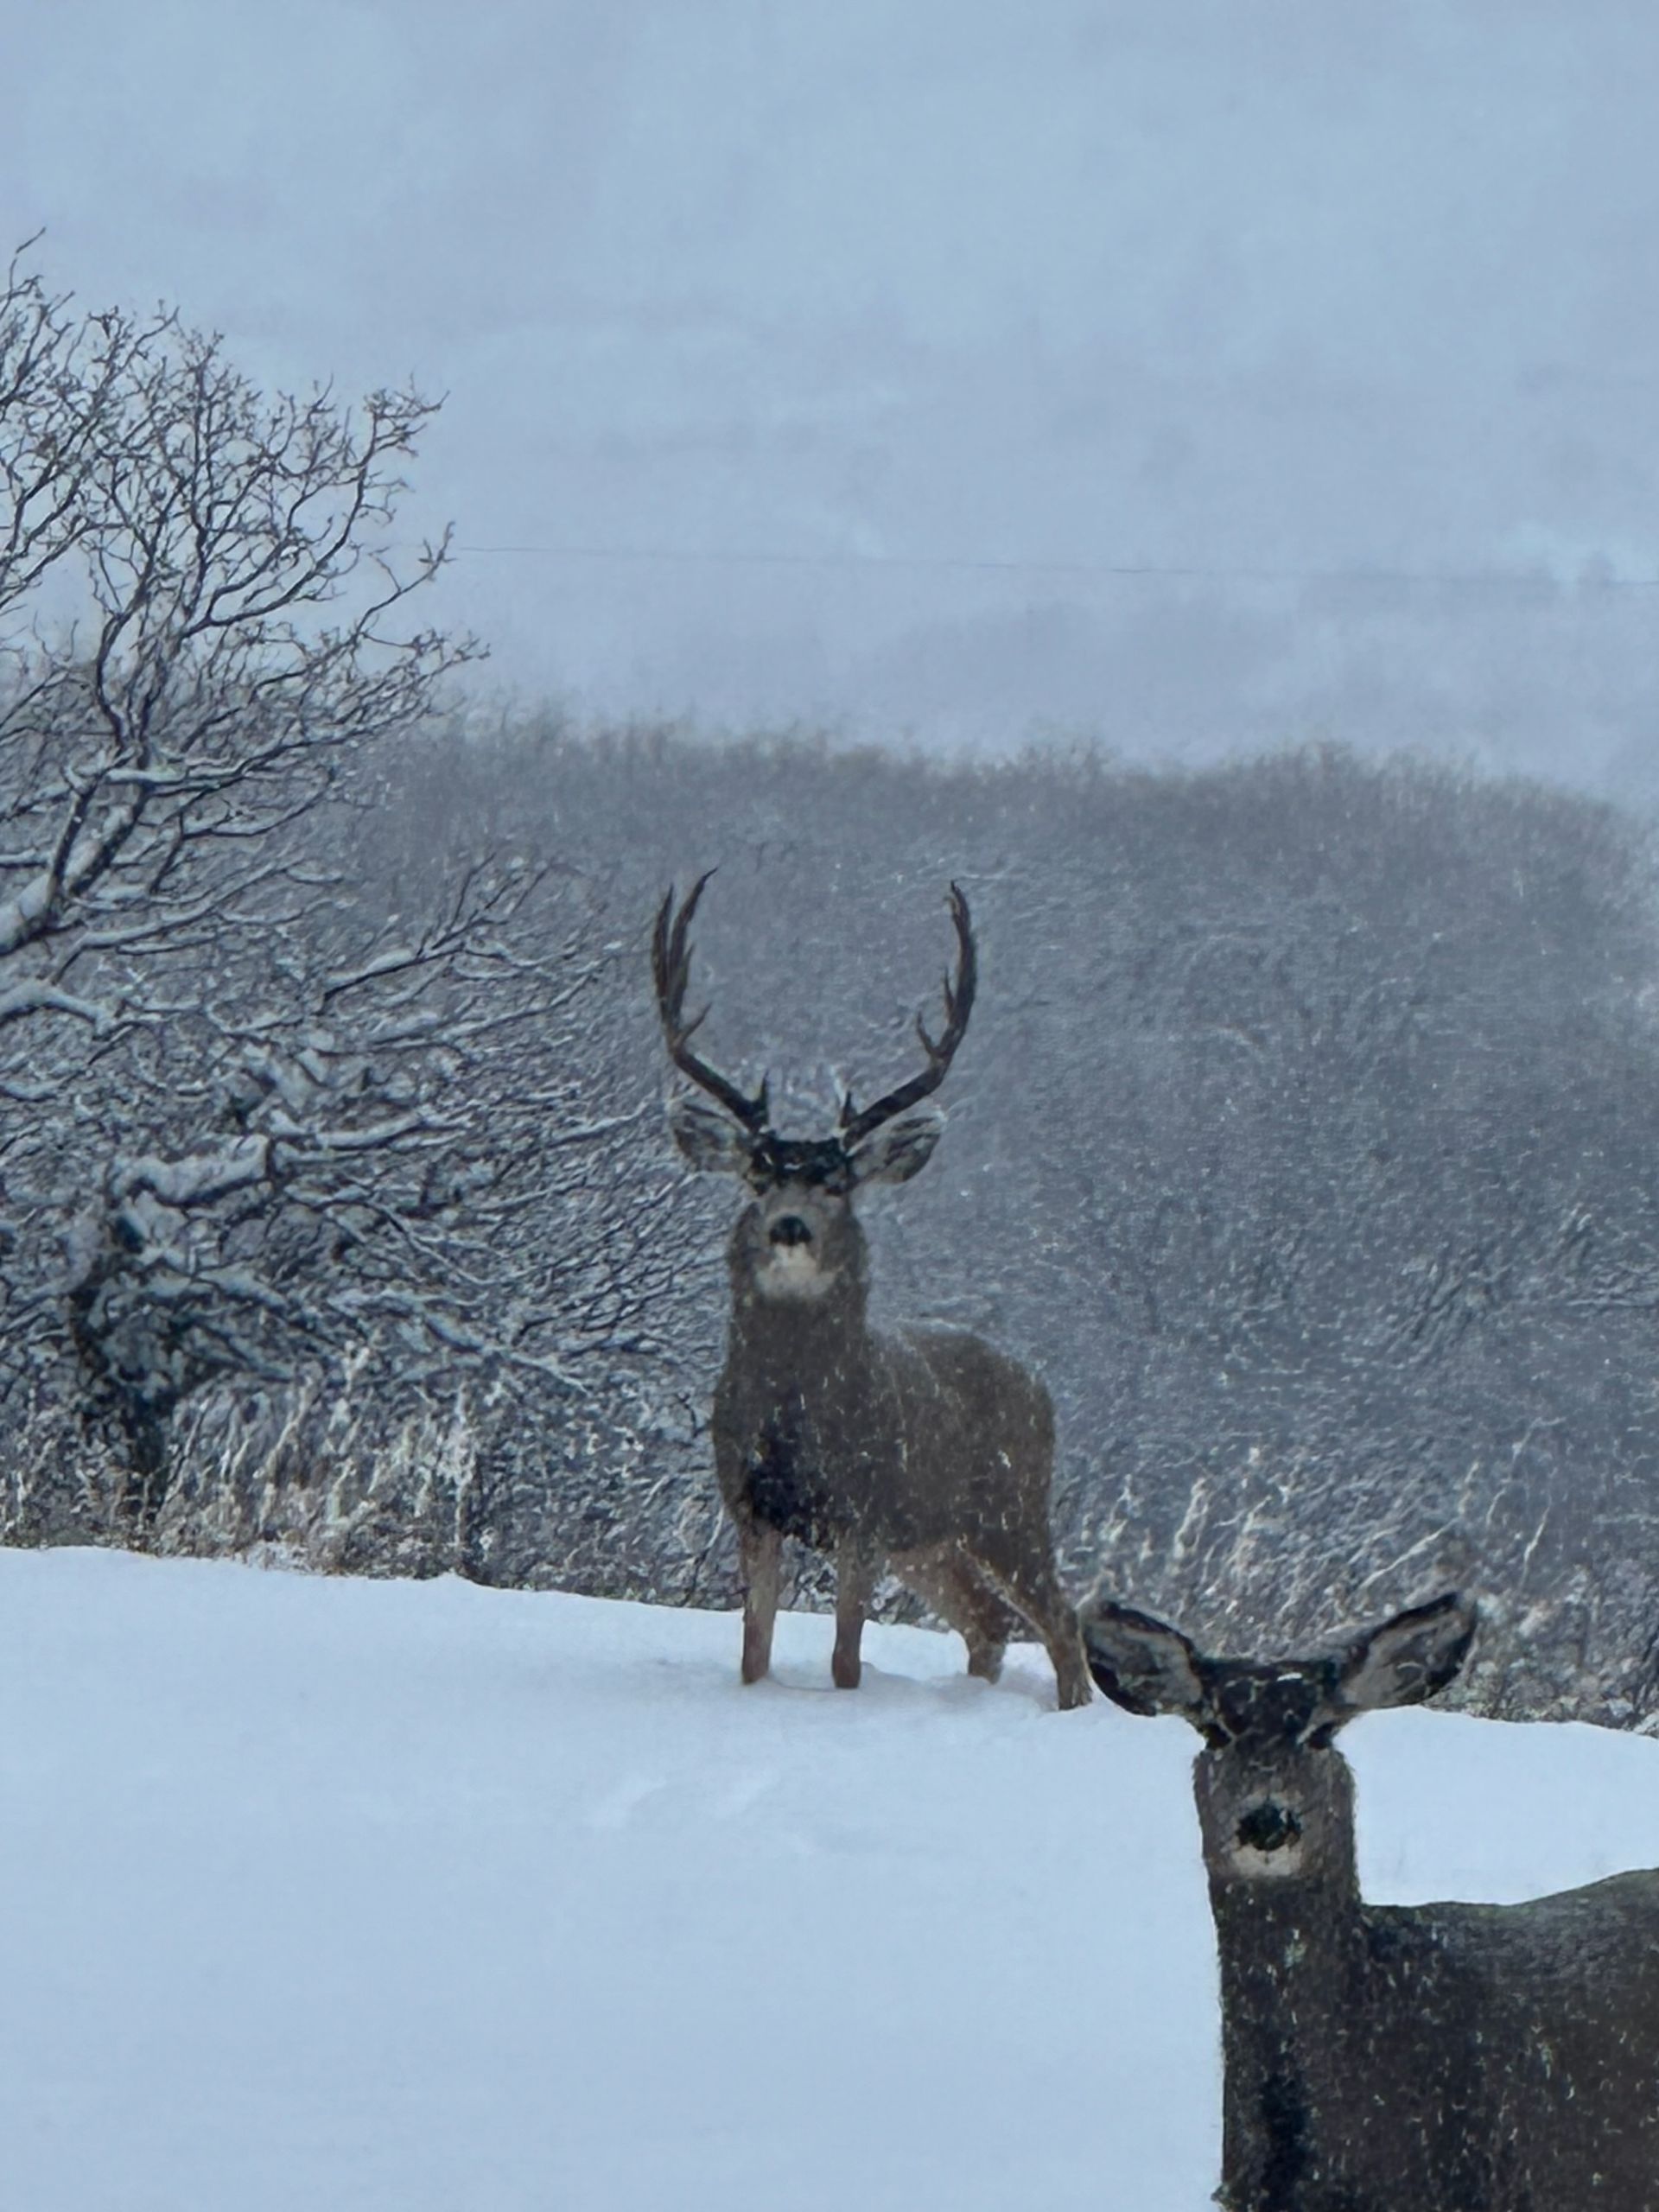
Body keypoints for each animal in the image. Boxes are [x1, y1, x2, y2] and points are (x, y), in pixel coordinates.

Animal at [653, 873, 1092, 1710]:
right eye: (758, 1175)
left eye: (838, 1183)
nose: (790, 1226)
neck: (796, 1419)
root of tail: (1039, 1383)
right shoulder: (749, 1506)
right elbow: (753, 1652)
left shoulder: (863, 1509)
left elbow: (845, 1662)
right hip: (929, 1538)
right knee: (987, 1619)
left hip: (1009, 1507)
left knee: (1061, 1618)